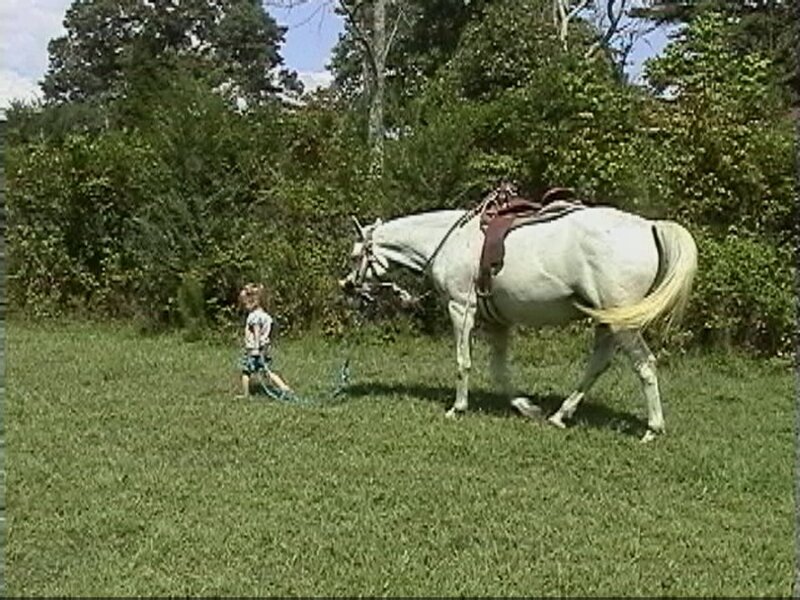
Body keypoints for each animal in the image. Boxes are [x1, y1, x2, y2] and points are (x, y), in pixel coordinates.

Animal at [339, 202, 697, 442]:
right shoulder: (499, 323)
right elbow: (500, 371)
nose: (347, 286)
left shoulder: (461, 309)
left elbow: (463, 362)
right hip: (607, 323)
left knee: (645, 365)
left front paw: (458, 407)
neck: (450, 240)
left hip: (624, 324)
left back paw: (652, 429)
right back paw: (560, 415)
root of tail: (649, 226)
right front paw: (525, 407)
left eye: (356, 256)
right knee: (598, 364)